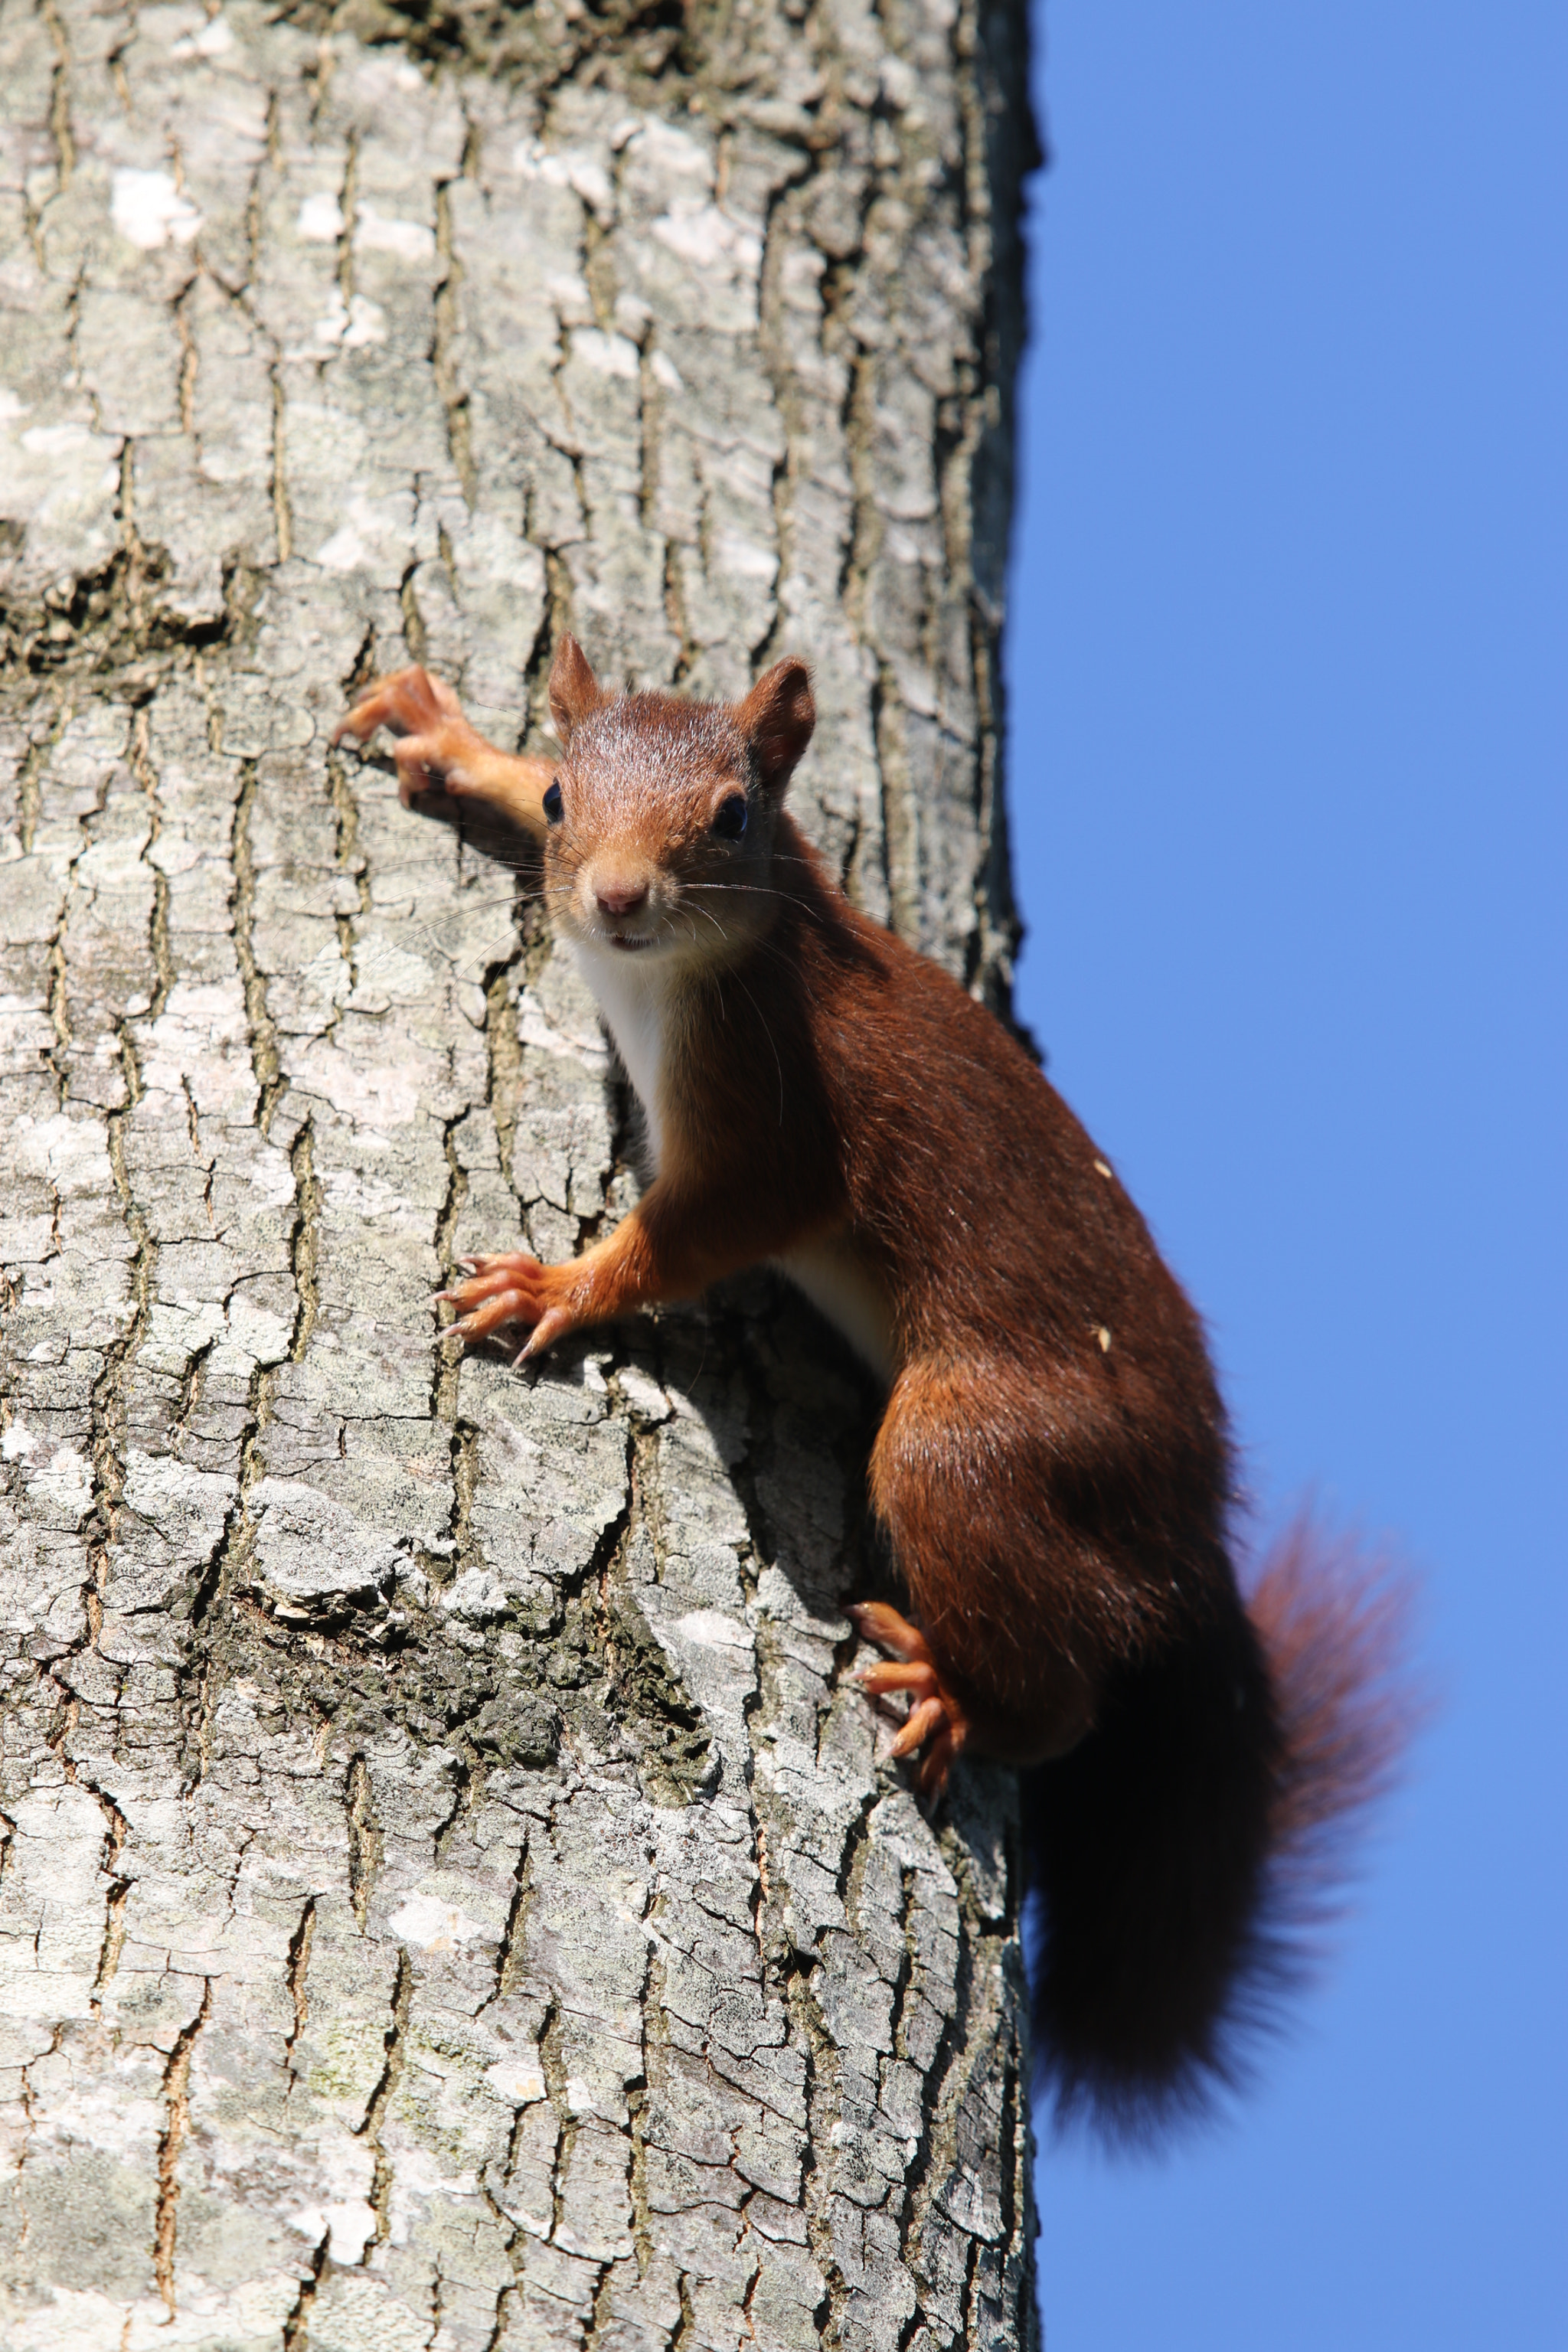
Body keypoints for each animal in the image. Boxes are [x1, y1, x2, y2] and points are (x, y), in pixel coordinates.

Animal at [338, 639, 1419, 2135]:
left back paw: (960, 1694)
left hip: (971, 1444)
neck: (686, 967)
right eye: (560, 796)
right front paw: (449, 739)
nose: (614, 898)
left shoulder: (773, 1119)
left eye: (733, 816)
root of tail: (1192, 1534)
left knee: (1057, 1691)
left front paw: (560, 1284)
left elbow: (694, 1235)